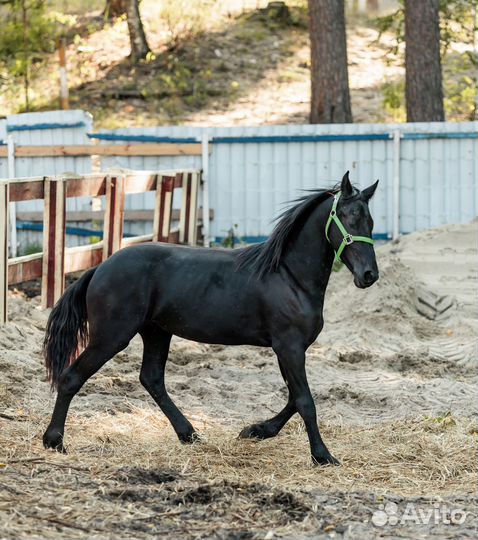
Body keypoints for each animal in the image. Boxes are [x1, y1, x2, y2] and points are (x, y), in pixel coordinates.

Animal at [44, 172, 380, 464]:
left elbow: (294, 399)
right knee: (72, 377)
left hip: (156, 332)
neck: (289, 276)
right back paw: (54, 441)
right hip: (112, 336)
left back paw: (189, 434)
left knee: (152, 379)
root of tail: (100, 268)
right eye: (348, 217)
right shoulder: (289, 347)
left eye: (371, 221)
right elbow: (305, 401)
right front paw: (323, 456)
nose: (369, 275)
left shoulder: (288, 350)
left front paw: (255, 431)